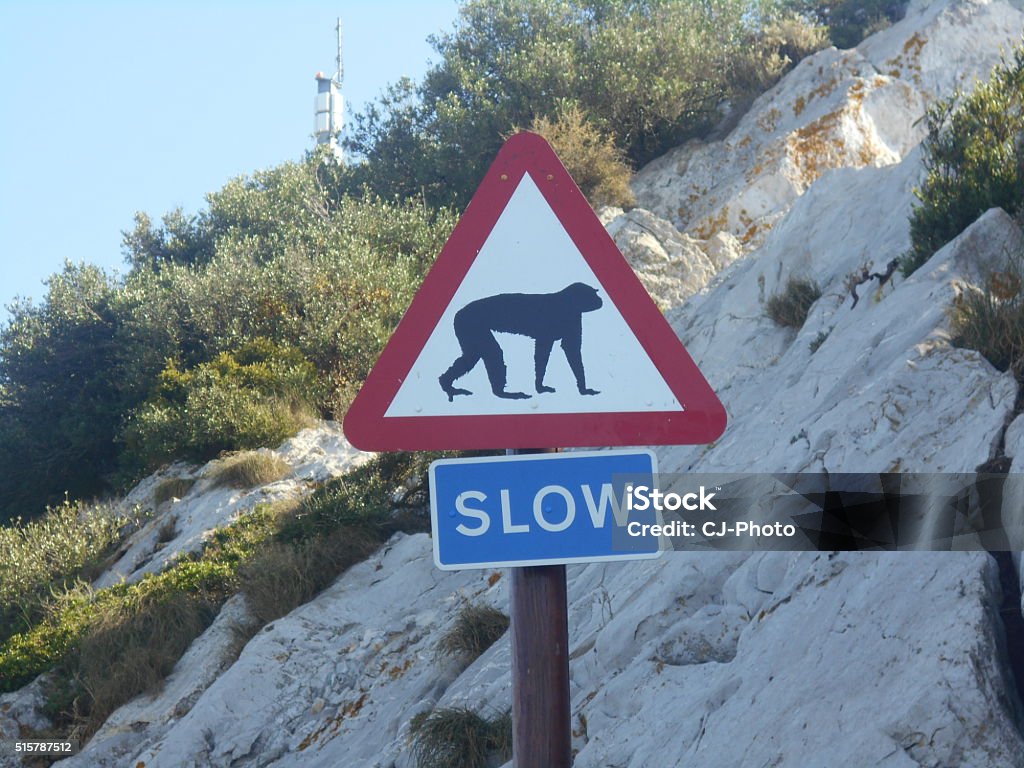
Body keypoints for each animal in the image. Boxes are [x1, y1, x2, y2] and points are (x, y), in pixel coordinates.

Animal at [438, 282, 603, 401]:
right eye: (593, 294)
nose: (600, 300)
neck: (568, 301)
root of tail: (459, 313)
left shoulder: (573, 317)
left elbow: (565, 349)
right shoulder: (567, 315)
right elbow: (552, 349)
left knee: (475, 355)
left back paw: (448, 383)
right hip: (469, 325)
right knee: (489, 353)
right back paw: (501, 393)